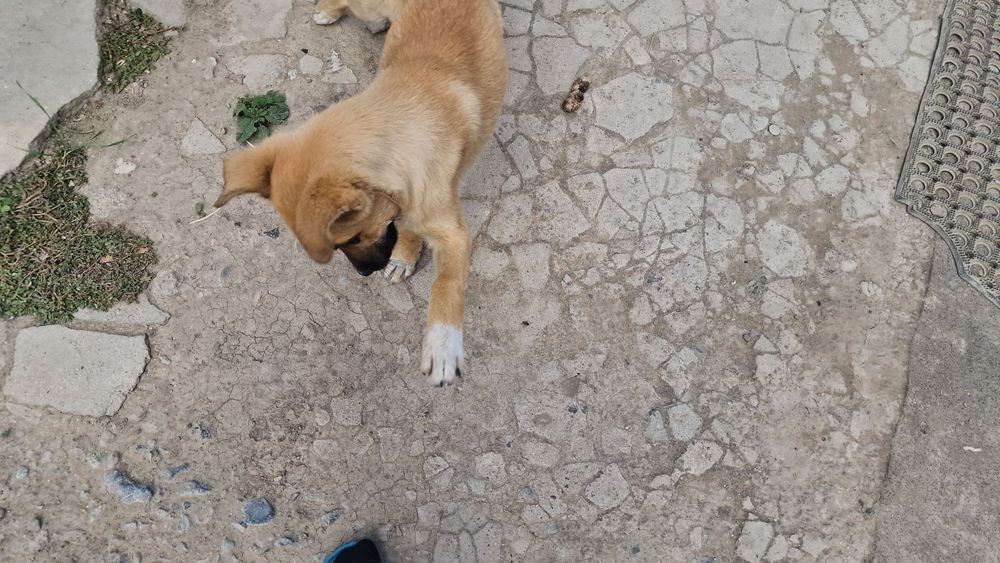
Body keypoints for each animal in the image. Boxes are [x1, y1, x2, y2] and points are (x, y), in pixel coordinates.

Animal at [215, 0, 507, 386]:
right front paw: (404, 256)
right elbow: (408, 230)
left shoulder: (450, 231)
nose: (364, 274)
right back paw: (328, 10)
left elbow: (447, 282)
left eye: (352, 238)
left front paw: (443, 344)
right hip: (373, 9)